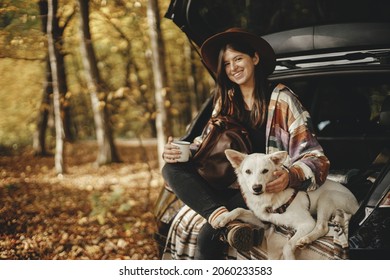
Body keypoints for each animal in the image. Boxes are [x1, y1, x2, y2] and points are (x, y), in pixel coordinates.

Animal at [213, 150, 360, 260]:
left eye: (265, 171)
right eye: (248, 171)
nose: (256, 188)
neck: (270, 198)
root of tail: (357, 205)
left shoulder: (307, 223)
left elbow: (287, 246)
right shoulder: (265, 220)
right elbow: (239, 210)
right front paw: (222, 217)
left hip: (326, 198)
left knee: (322, 227)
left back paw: (306, 239)